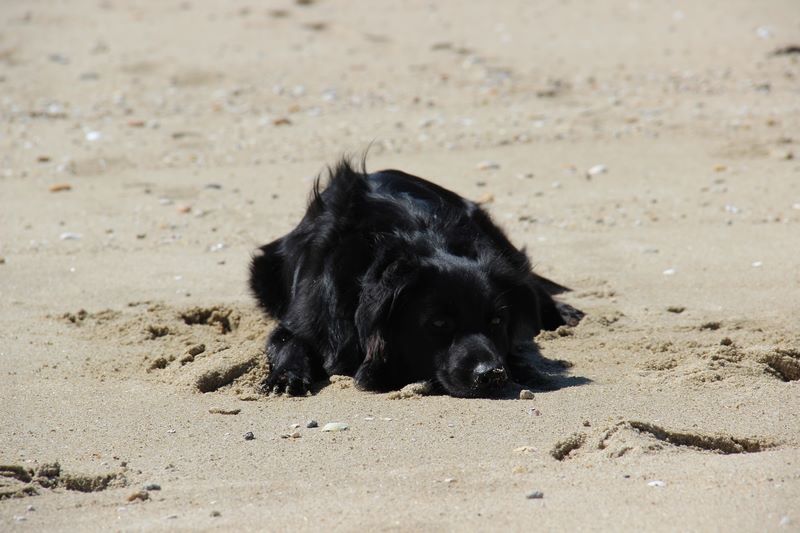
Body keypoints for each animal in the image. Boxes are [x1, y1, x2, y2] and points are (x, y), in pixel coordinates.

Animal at [250, 160, 576, 396]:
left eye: (497, 321)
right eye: (439, 324)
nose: (492, 374)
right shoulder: (305, 318)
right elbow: (286, 341)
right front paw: (286, 377)